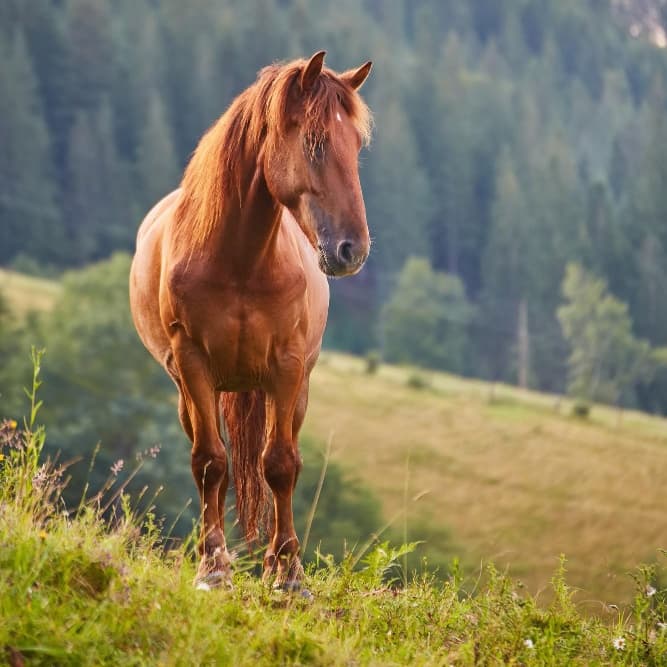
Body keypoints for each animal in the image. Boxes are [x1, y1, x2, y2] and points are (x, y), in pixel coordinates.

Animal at [129, 51, 373, 590]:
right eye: (316, 143)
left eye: (357, 146)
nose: (354, 250)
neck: (238, 261)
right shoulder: (193, 363)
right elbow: (209, 463)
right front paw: (213, 567)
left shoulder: (286, 366)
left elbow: (280, 465)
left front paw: (288, 574)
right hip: (193, 392)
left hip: (295, 391)